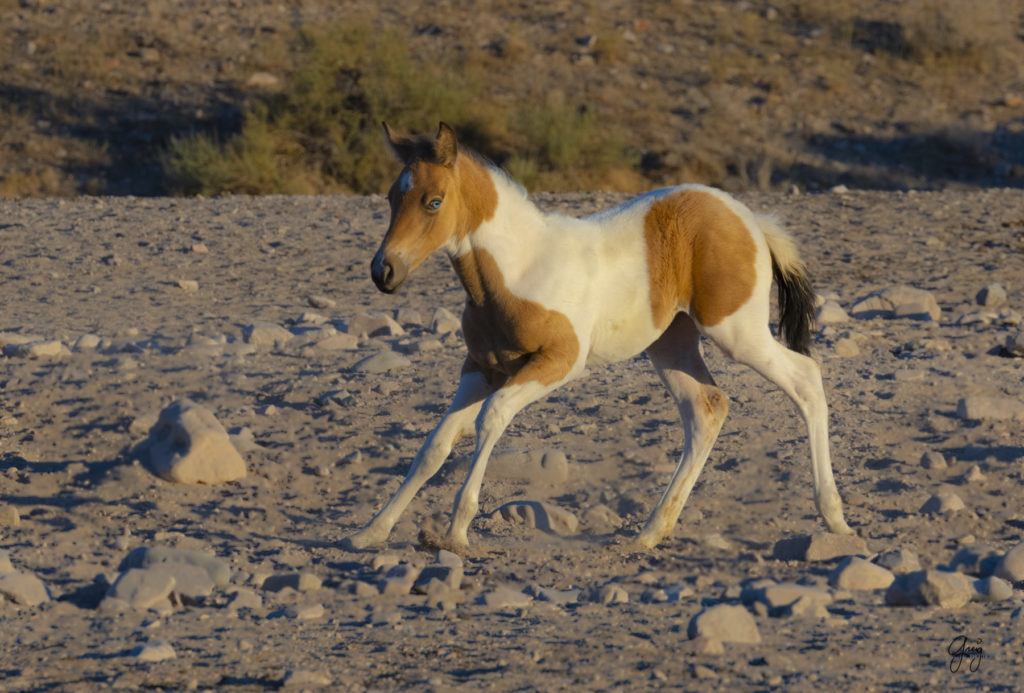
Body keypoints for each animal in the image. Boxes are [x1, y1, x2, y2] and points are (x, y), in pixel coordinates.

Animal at [339, 120, 851, 552]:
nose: (383, 272)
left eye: (434, 201)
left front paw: (456, 530)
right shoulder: (481, 368)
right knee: (707, 408)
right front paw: (370, 531)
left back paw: (833, 517)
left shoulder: (559, 362)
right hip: (670, 344)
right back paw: (650, 532)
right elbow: (436, 444)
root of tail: (750, 219)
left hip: (736, 333)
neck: (518, 268)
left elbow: (491, 418)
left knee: (806, 378)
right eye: (391, 198)